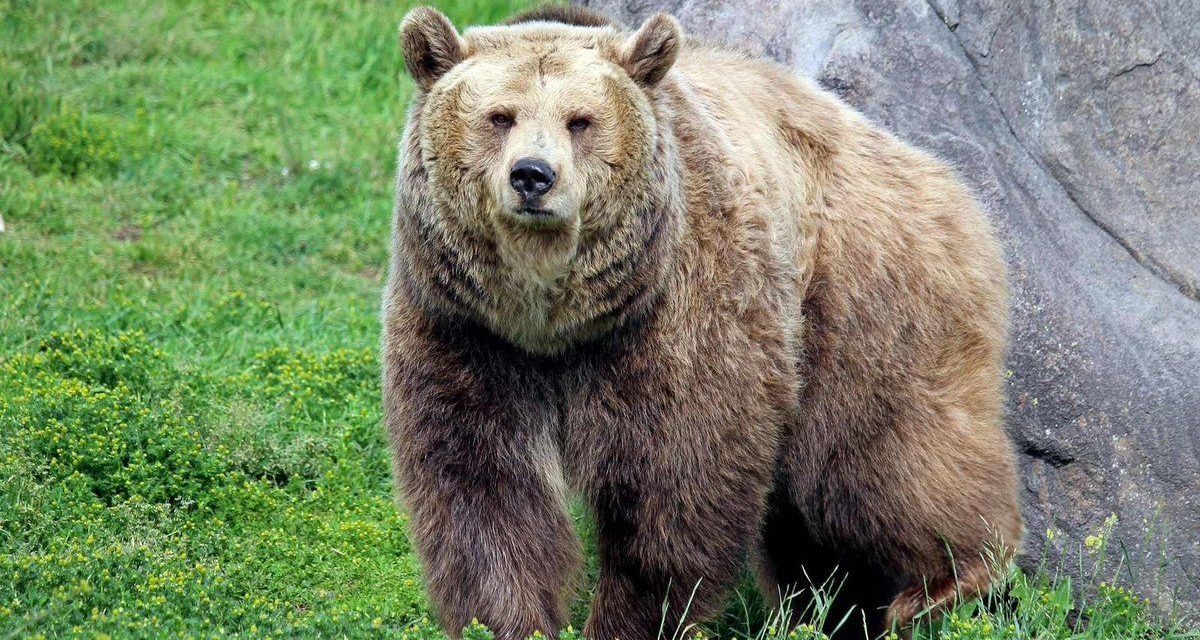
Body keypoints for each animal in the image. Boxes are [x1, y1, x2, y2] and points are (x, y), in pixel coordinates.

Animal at [382, 5, 1023, 639]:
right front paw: (507, 620)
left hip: (863, 294)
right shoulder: (464, 327)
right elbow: (482, 486)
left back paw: (946, 583)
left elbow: (677, 477)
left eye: (580, 121)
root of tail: (941, 175)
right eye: (500, 116)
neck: (553, 319)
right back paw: (832, 609)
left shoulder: (679, 309)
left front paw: (634, 618)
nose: (532, 175)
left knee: (879, 461)